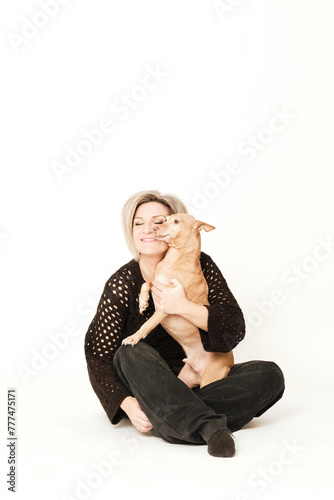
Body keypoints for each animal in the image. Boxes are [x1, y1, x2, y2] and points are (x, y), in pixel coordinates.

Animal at [121, 213, 234, 388]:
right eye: (164, 220)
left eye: (176, 221)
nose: (154, 228)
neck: (174, 258)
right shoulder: (157, 284)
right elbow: (146, 283)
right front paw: (143, 302)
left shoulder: (165, 306)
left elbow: (147, 324)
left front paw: (134, 337)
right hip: (185, 378)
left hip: (211, 377)